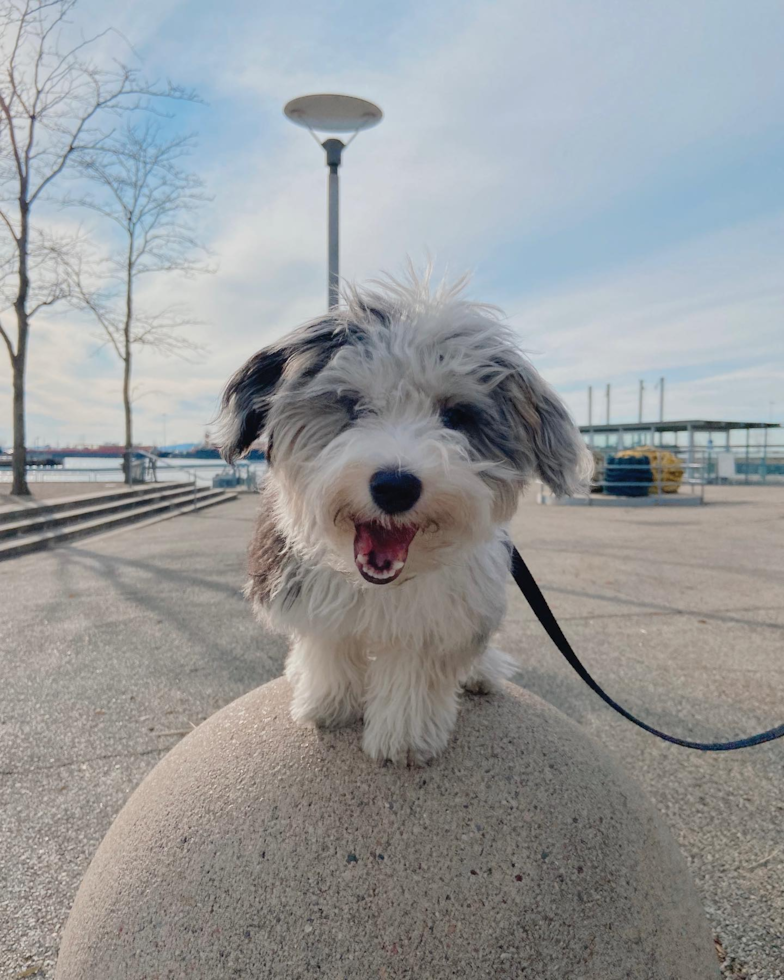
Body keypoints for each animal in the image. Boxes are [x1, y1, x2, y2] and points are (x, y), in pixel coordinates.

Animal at [217, 274, 592, 764]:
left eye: (457, 416)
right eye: (352, 405)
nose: (395, 486)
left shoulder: (444, 616)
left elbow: (415, 671)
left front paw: (404, 738)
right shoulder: (305, 590)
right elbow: (329, 646)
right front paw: (329, 705)